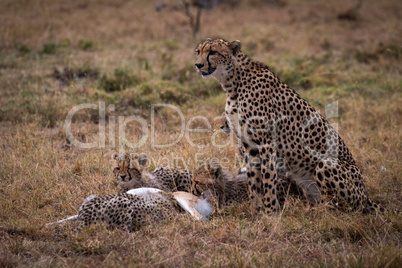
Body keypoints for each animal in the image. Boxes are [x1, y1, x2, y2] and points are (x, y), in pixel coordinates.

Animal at [196, 37, 382, 215]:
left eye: (212, 52)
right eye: (198, 51)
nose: (198, 65)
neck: (232, 83)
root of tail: (366, 195)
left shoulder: (266, 143)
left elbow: (268, 180)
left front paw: (270, 213)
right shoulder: (250, 146)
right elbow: (253, 182)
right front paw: (255, 212)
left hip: (327, 164)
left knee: (339, 207)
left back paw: (315, 212)